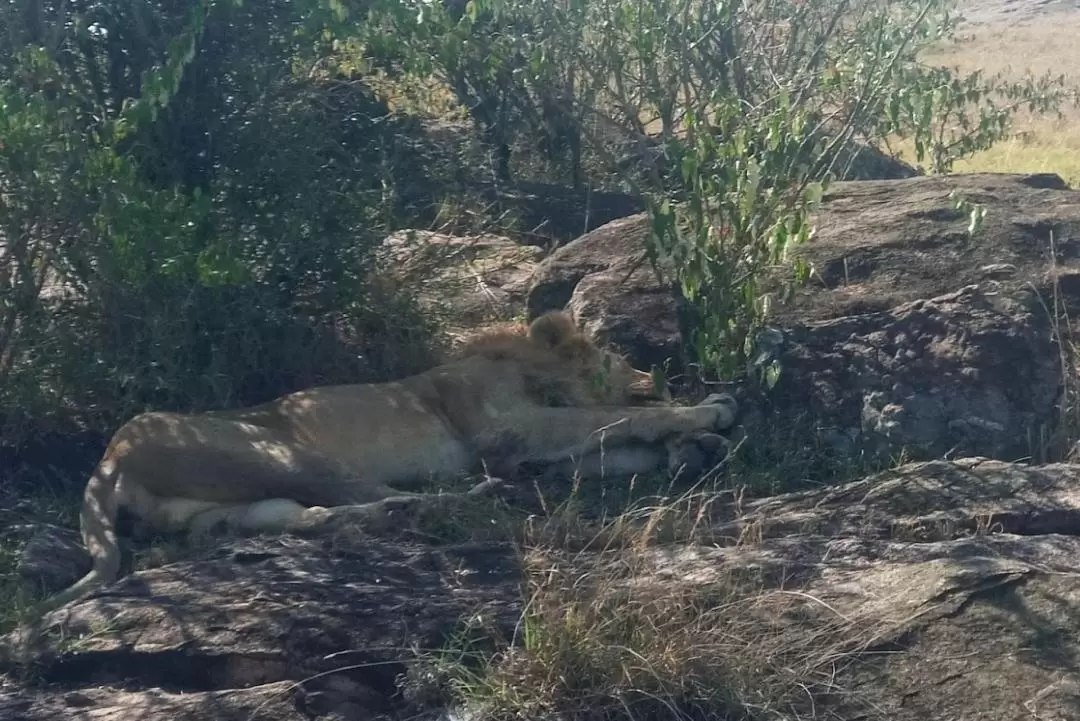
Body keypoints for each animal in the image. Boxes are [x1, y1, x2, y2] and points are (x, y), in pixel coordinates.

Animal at [39, 313, 734, 613]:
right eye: (615, 358)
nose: (652, 375)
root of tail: (108, 457)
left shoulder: (535, 453)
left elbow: (612, 443)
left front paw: (689, 447)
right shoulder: (507, 433)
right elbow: (604, 420)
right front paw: (707, 413)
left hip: (236, 508)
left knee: (324, 515)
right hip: (284, 450)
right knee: (392, 497)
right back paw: (474, 496)